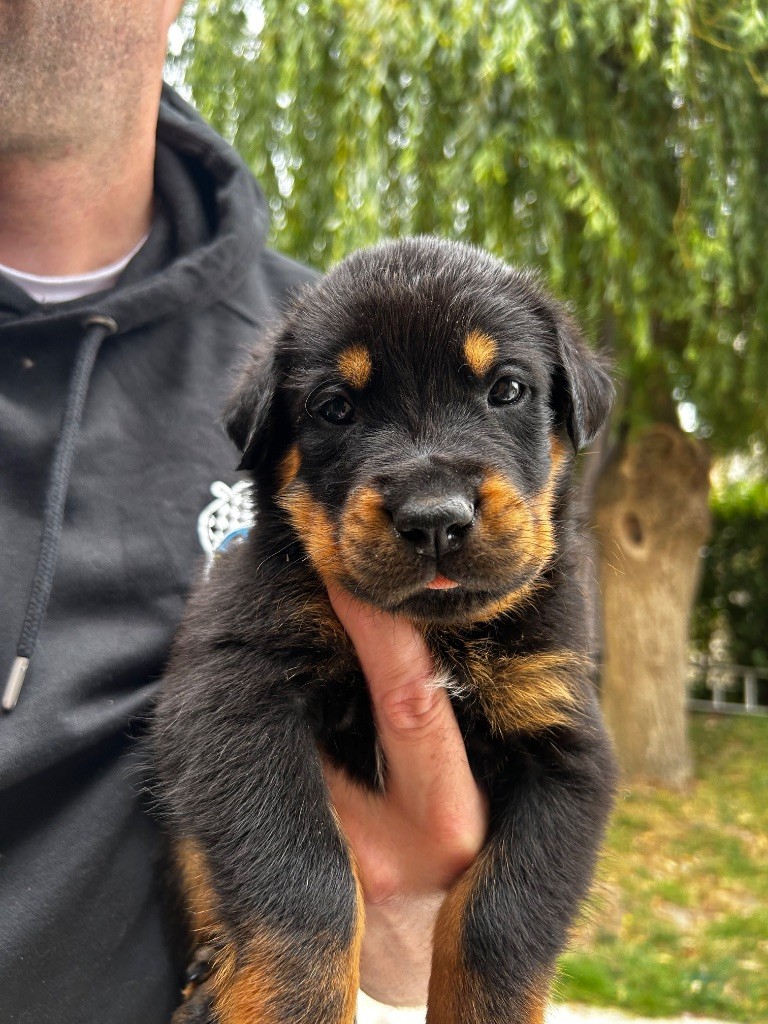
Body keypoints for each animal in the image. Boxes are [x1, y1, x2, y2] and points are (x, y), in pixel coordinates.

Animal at [150, 236, 618, 1024]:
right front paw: (294, 1004)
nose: (434, 519)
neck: (435, 632)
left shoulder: (567, 748)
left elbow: (503, 918)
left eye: (507, 389)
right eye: (336, 407)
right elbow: (304, 881)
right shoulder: (235, 693)